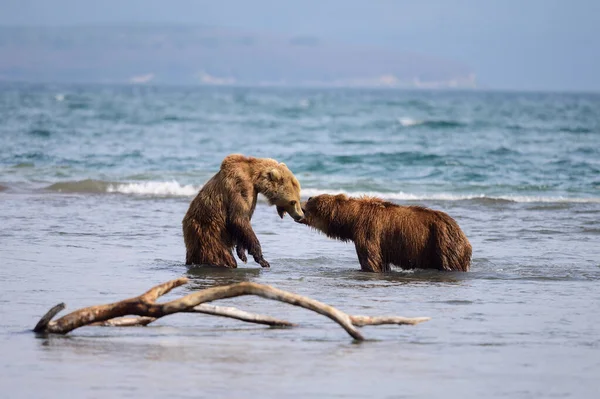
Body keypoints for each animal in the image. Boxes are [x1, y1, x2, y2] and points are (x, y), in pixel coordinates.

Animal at [298, 195, 472, 274]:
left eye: (309, 203)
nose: (300, 203)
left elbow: (371, 259)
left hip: (442, 243)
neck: (351, 220)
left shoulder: (368, 231)